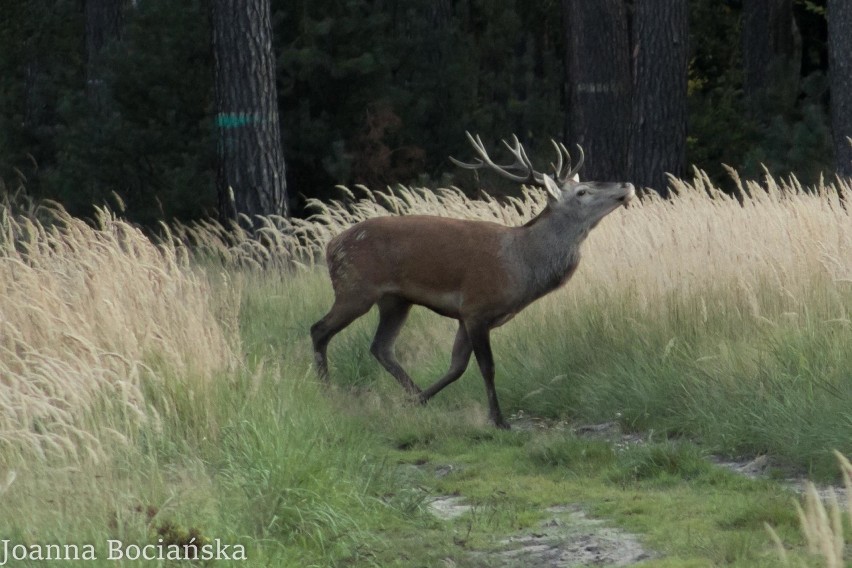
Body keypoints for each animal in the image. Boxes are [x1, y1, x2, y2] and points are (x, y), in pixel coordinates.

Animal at [312, 132, 632, 426]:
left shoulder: (465, 315)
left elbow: (456, 367)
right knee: (319, 330)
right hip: (355, 287)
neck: (521, 265)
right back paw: (326, 391)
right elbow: (486, 367)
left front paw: (418, 401)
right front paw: (499, 420)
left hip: (396, 300)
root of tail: (330, 246)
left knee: (381, 346)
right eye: (582, 192)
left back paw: (409, 393)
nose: (626, 185)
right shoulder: (477, 307)